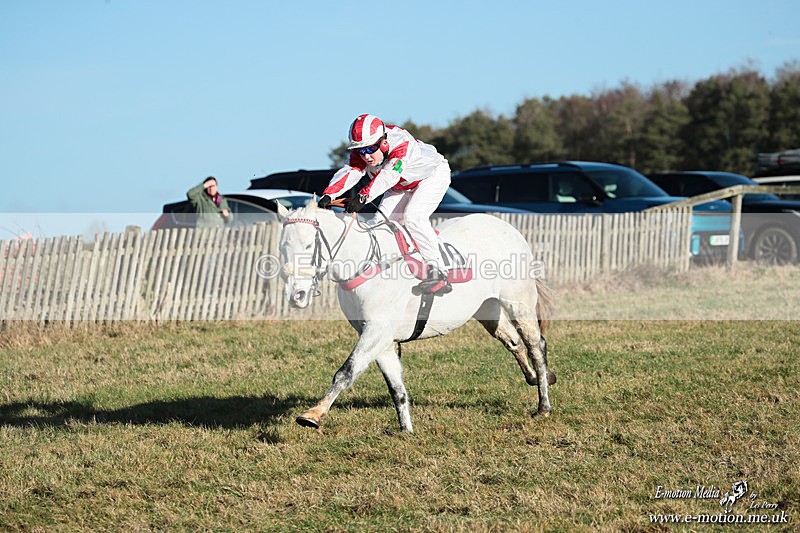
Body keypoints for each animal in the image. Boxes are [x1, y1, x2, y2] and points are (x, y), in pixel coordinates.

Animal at [276, 198, 555, 433]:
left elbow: (347, 371)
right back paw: (537, 378)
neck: (368, 264)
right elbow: (395, 386)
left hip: (518, 302)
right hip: (487, 309)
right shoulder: (381, 338)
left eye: (309, 245)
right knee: (513, 342)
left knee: (535, 345)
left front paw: (313, 413)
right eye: (283, 247)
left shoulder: (376, 331)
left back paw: (543, 405)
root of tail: (508, 228)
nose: (296, 294)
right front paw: (406, 429)